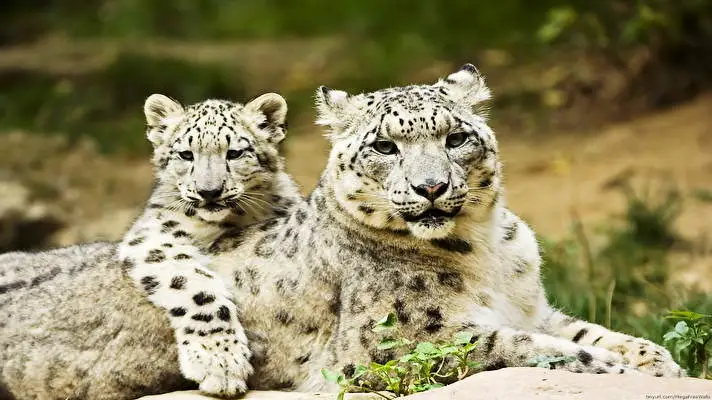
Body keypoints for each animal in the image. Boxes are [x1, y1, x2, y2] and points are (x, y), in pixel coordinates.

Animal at [0, 93, 301, 400]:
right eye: (186, 154)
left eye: (235, 153)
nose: (209, 191)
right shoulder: (154, 237)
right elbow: (197, 288)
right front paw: (220, 362)